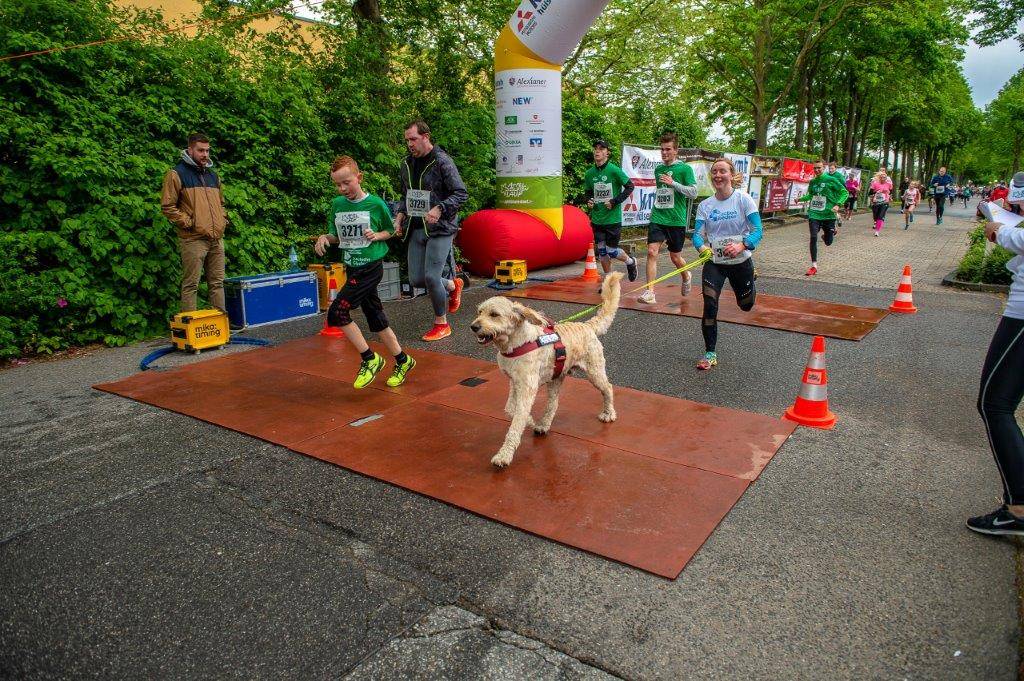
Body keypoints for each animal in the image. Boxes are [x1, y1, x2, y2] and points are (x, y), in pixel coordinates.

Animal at [470, 272, 623, 467]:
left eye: (494, 314)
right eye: (479, 312)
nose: (474, 326)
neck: (515, 344)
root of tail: (587, 326)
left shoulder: (527, 389)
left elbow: (516, 423)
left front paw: (504, 455)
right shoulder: (515, 383)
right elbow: (511, 409)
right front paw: (530, 420)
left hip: (594, 372)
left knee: (608, 388)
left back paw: (609, 413)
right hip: (555, 379)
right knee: (553, 404)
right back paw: (543, 424)